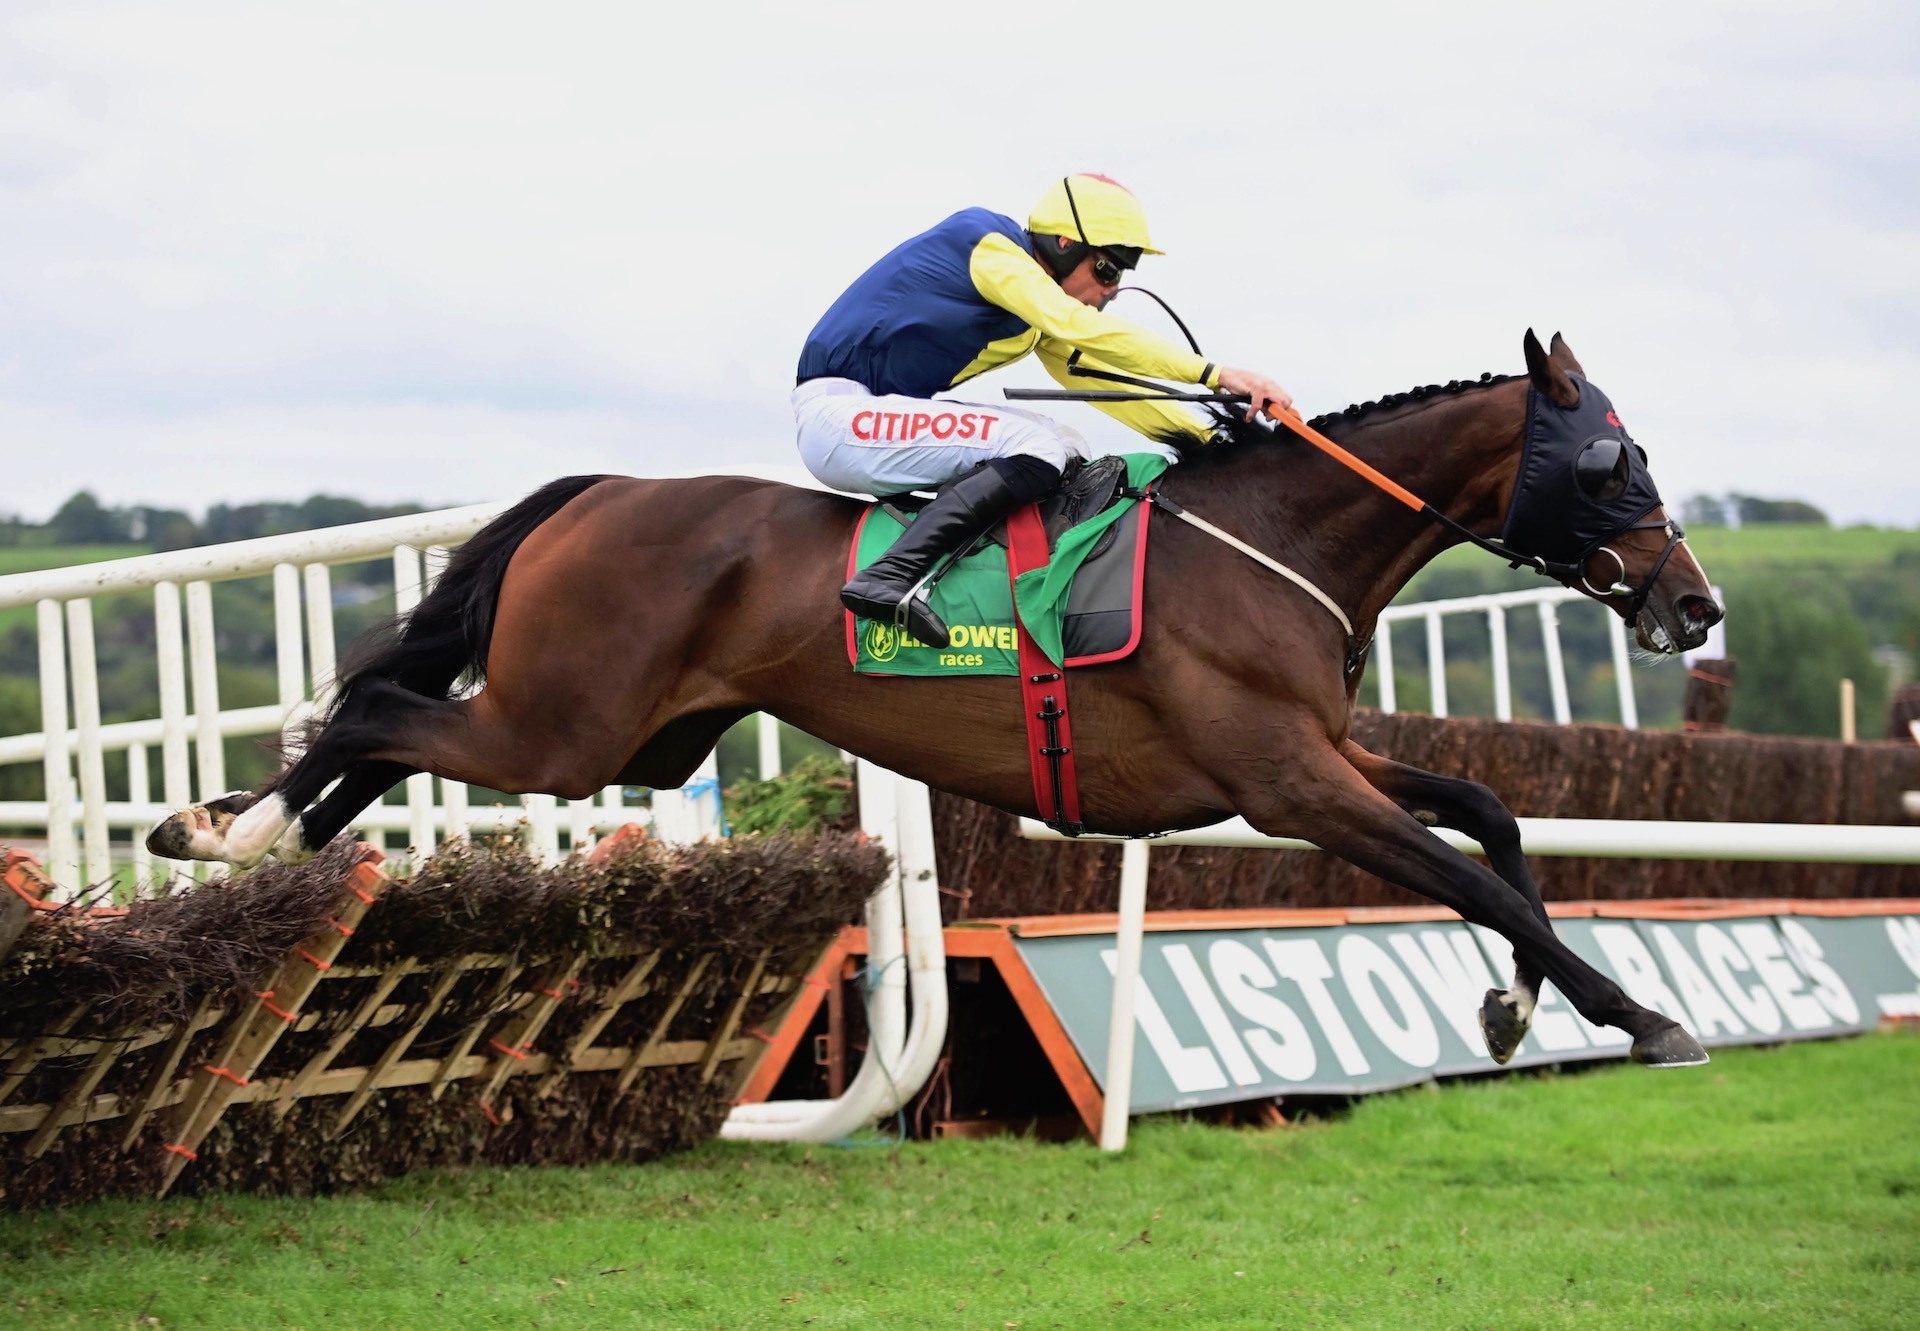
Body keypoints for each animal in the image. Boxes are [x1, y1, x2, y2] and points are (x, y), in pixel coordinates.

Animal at [149, 332, 1728, 1067]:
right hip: (565, 728)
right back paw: (228, 832)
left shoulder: (1320, 758)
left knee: (380, 733)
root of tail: (596, 491)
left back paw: (255, 839)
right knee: (372, 716)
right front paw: (1636, 1011)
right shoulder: (1286, 784)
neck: (1271, 538)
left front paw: (1516, 1004)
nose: (1697, 604)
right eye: (1615, 462)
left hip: (630, 737)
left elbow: (1490, 817)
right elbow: (1482, 874)